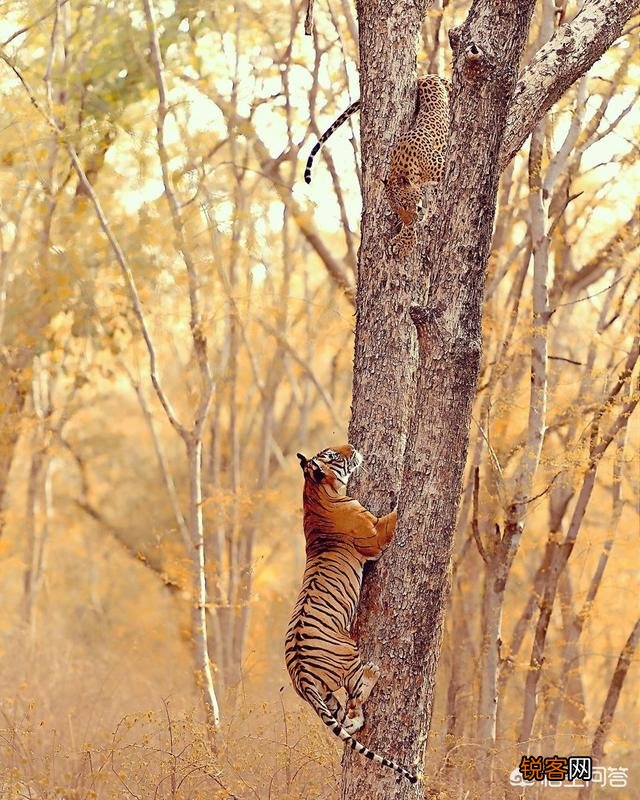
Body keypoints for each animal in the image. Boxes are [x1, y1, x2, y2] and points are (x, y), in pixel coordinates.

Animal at [284, 444, 418, 784]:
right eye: (332, 454)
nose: (353, 447)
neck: (315, 492)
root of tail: (301, 674)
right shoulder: (375, 535)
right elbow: (392, 517)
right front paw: (404, 493)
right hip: (349, 656)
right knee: (357, 696)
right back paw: (372, 672)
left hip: (324, 694)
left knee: (345, 717)